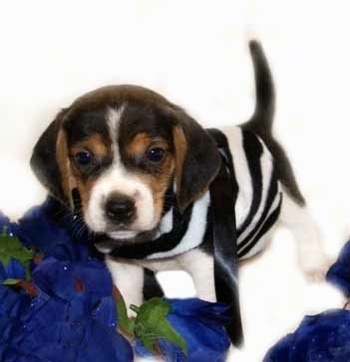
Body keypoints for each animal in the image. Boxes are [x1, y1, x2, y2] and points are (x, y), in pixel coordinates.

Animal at [30, 41, 328, 346]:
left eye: (155, 153)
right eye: (83, 157)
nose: (119, 208)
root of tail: (252, 127)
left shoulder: (208, 267)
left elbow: (210, 308)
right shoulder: (124, 268)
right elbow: (126, 307)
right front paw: (127, 343)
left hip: (286, 196)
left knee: (304, 223)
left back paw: (313, 262)